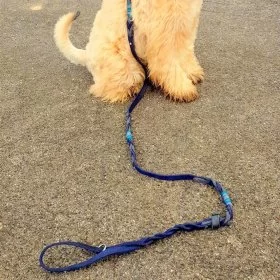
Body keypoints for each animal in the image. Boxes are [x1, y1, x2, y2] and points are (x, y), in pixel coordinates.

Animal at [54, 0, 203, 103]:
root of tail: (87, 53)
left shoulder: (186, 26)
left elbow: (185, 53)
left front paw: (192, 72)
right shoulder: (161, 37)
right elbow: (169, 67)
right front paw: (182, 89)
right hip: (124, 67)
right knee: (103, 88)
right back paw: (130, 90)